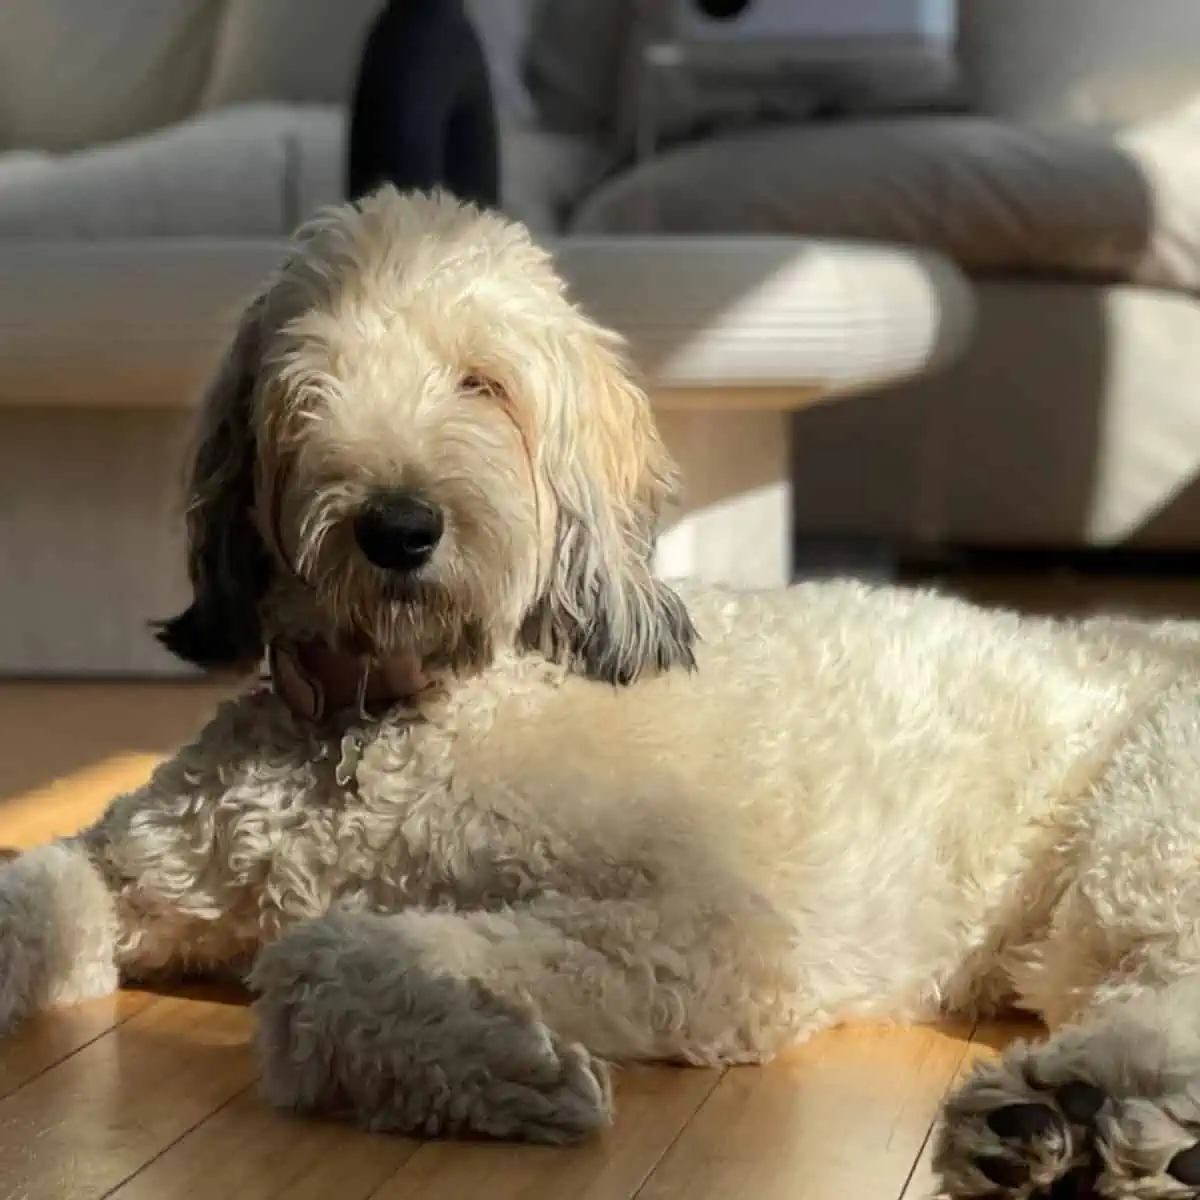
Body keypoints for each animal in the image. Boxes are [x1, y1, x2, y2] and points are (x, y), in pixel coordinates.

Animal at [2, 182, 1200, 1195]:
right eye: (310, 390)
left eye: (483, 385)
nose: (398, 528)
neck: (386, 714)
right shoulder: (132, 864)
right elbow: (42, 898)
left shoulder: (704, 932)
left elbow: (322, 958)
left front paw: (494, 1057)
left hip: (1136, 847)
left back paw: (1066, 1110)